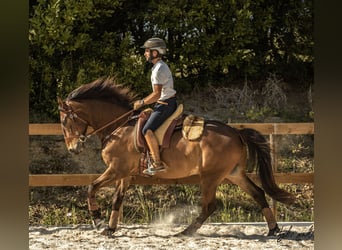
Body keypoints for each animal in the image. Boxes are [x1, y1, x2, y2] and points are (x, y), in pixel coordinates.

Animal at [56, 77, 294, 237]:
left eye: (65, 121)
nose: (73, 148)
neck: (119, 125)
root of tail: (237, 132)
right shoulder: (124, 174)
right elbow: (117, 200)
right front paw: (110, 228)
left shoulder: (116, 169)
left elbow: (91, 187)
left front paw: (97, 221)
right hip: (234, 174)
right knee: (258, 193)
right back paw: (274, 230)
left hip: (211, 176)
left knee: (209, 206)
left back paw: (185, 232)